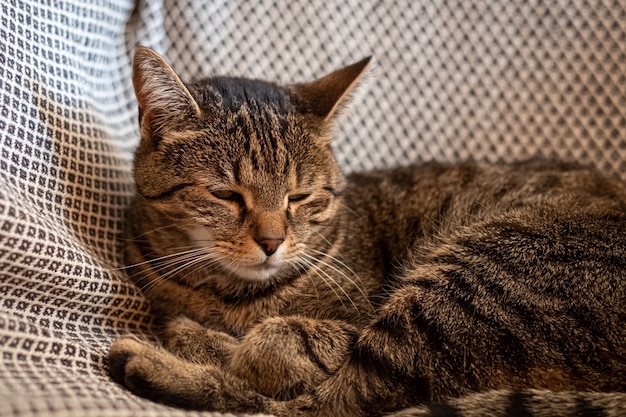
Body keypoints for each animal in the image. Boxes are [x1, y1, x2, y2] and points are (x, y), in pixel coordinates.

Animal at [108, 46, 624, 416]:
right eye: (226, 195)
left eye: (299, 197)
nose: (272, 242)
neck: (227, 293)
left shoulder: (347, 325)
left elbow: (281, 345)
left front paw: (204, 337)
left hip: (473, 279)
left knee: (326, 404)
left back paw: (152, 363)